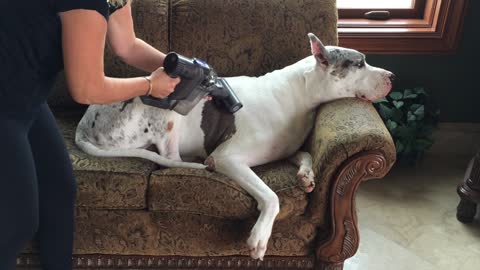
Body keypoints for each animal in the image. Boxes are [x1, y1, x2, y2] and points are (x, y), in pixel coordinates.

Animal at [76, 33, 394, 260]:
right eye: (360, 63)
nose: (392, 76)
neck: (299, 94)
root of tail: (84, 123)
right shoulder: (230, 158)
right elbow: (272, 197)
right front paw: (259, 237)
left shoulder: (286, 149)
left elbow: (304, 153)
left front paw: (306, 175)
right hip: (165, 107)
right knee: (170, 156)